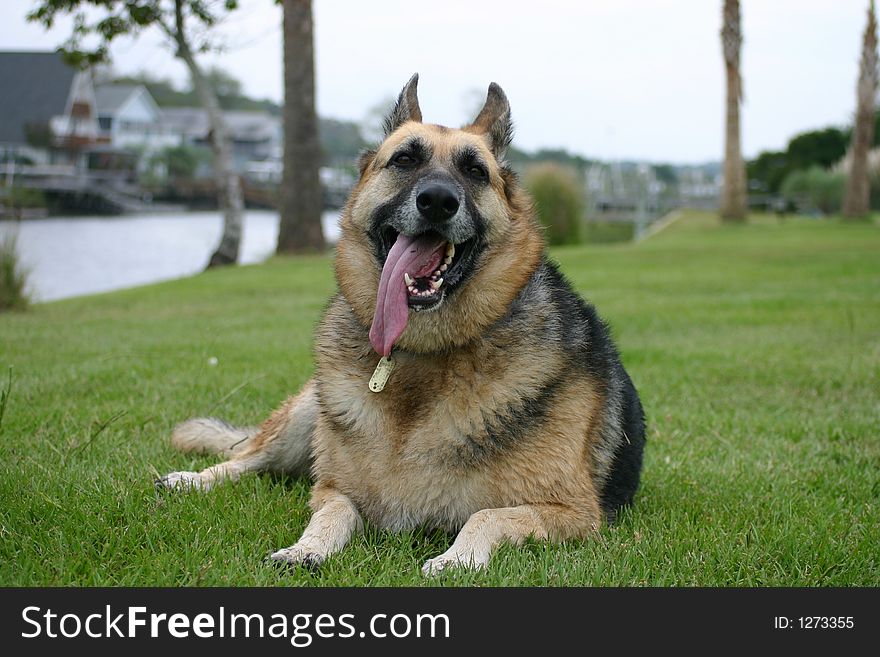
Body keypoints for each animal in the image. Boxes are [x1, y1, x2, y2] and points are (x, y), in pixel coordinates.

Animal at [156, 74, 648, 572]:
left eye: (475, 171)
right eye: (405, 160)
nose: (438, 201)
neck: (422, 355)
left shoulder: (575, 513)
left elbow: (487, 516)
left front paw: (455, 559)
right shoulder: (332, 489)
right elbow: (330, 514)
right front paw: (305, 548)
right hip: (305, 415)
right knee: (248, 457)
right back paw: (191, 479)